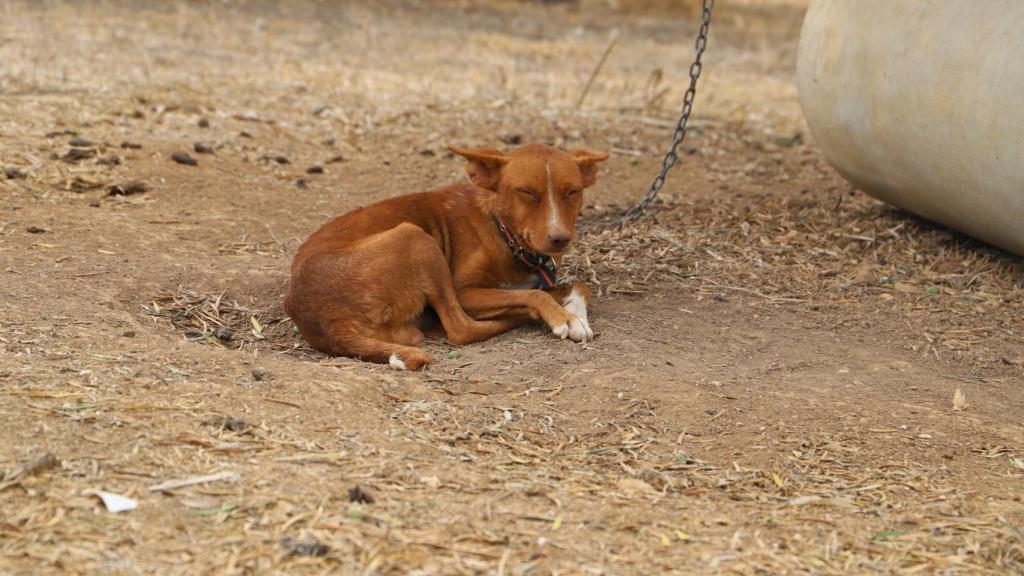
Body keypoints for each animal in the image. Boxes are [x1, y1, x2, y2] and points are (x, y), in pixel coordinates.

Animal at [284, 142, 606, 366]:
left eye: (572, 192)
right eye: (527, 193)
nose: (560, 239)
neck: (503, 232)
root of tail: (325, 320)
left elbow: (580, 286)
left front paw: (576, 315)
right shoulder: (465, 292)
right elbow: (534, 294)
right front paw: (561, 316)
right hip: (416, 238)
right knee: (461, 328)